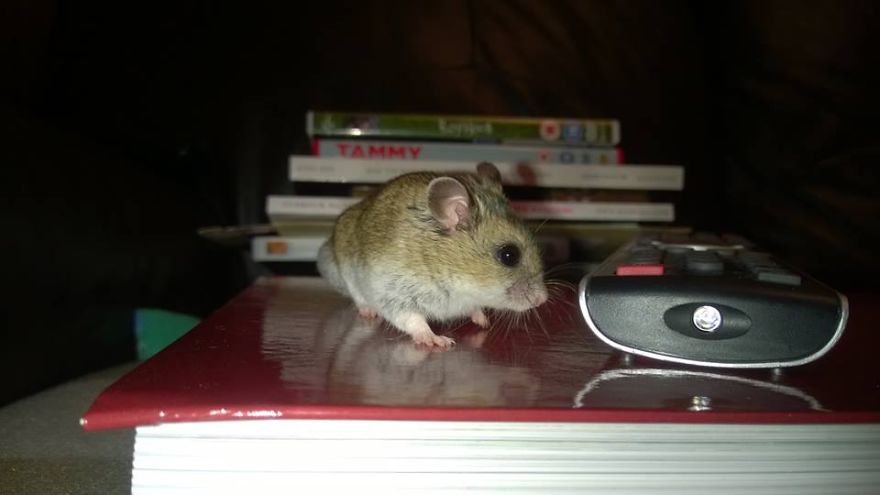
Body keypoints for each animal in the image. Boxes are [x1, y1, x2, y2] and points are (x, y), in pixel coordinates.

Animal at [317, 161, 548, 348]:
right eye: (509, 255)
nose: (542, 300)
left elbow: (474, 308)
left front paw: (483, 321)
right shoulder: (394, 295)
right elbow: (414, 320)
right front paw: (439, 341)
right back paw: (368, 312)